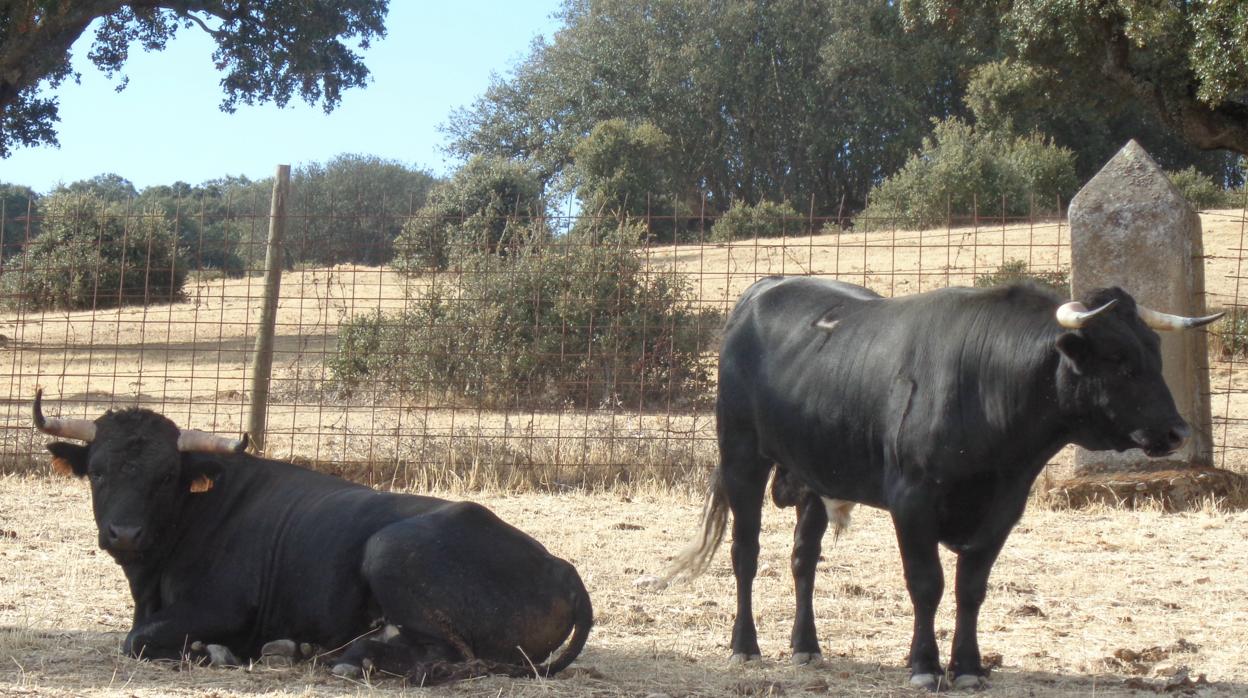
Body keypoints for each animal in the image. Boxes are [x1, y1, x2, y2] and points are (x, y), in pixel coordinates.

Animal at [31, 394, 591, 684]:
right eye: (98, 472)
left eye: (166, 476)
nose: (124, 532)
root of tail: (560, 567)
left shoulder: (220, 607)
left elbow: (138, 640)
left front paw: (213, 652)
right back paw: (305, 649)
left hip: (388, 550)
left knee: (452, 658)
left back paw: (350, 660)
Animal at [663, 277, 1218, 689]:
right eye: (1119, 360)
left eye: (1155, 352)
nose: (1177, 431)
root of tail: (762, 290)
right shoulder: (913, 503)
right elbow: (926, 584)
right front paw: (925, 666)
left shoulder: (1004, 510)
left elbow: (971, 589)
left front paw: (968, 667)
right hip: (742, 457)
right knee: (745, 552)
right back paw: (745, 646)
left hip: (814, 474)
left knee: (803, 558)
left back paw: (806, 647)